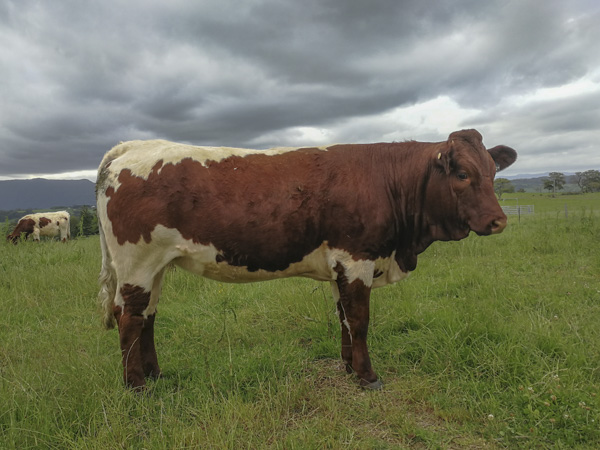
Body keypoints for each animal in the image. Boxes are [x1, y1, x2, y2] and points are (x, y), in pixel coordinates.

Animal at [97, 128, 516, 388]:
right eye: (462, 174)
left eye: (493, 171)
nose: (499, 220)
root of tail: (133, 146)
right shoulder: (357, 258)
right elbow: (360, 320)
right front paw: (368, 376)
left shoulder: (339, 267)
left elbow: (344, 318)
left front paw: (348, 368)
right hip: (137, 262)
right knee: (129, 317)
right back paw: (137, 386)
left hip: (156, 266)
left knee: (148, 316)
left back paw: (156, 375)